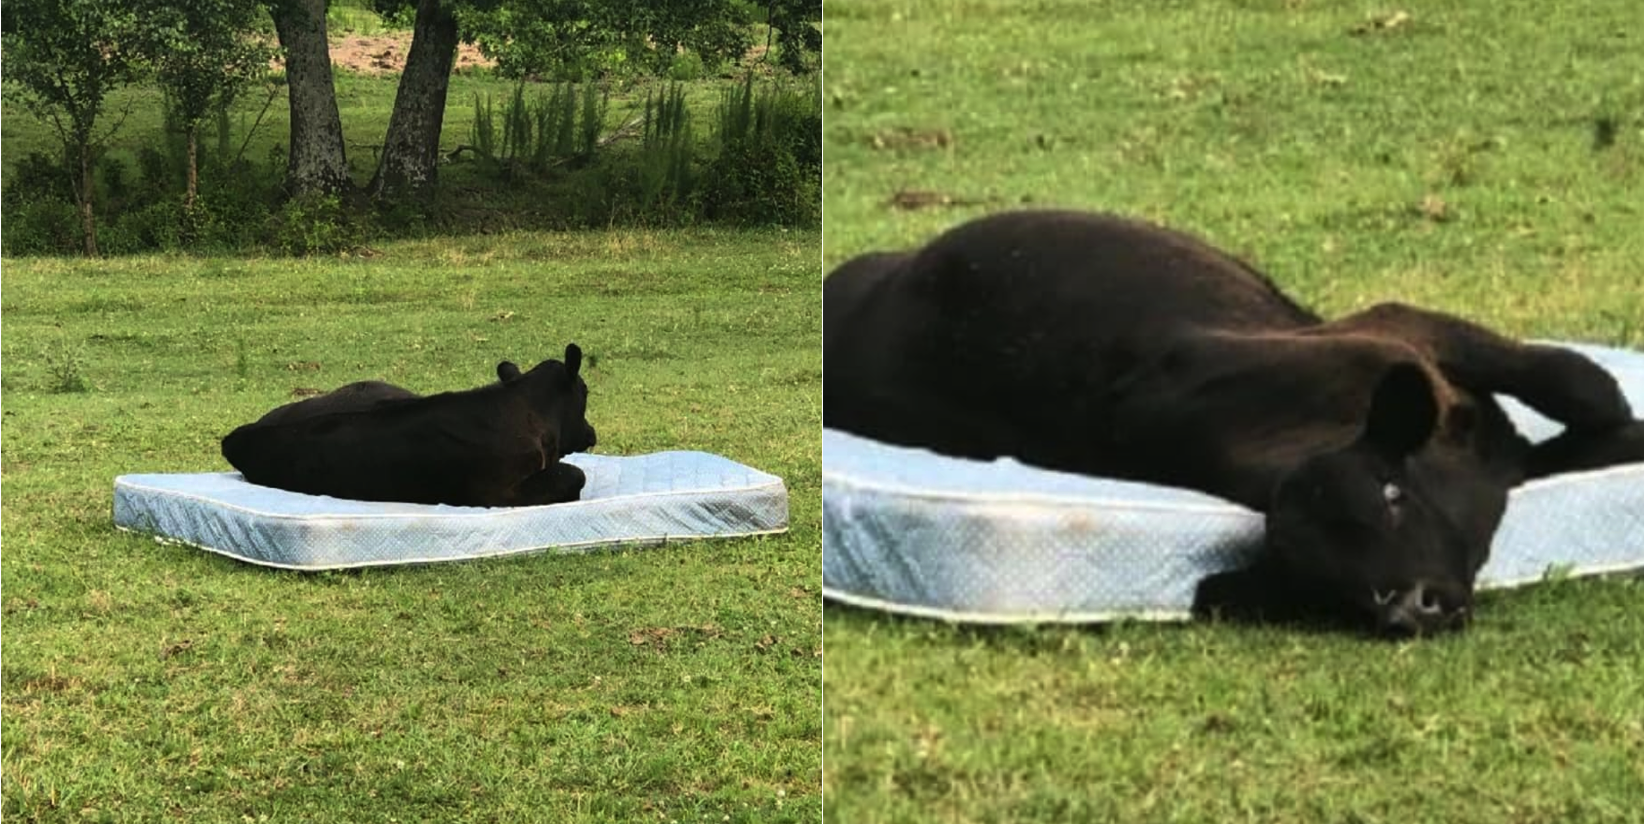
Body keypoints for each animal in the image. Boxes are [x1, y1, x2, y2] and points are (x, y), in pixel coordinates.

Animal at [828, 212, 1644, 634]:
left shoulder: (1406, 332)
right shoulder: (1399, 330)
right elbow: (1593, 404)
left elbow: (1585, 388)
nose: (1415, 605)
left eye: (1392, 494)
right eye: (1334, 587)